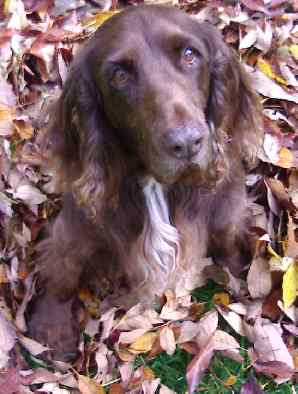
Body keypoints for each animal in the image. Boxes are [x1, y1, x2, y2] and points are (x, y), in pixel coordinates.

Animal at [27, 4, 260, 362]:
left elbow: (227, 236)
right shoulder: (78, 225)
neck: (155, 183)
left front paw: (237, 273)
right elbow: (64, 267)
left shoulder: (227, 204)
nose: (187, 143)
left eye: (190, 55)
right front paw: (52, 325)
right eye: (119, 76)